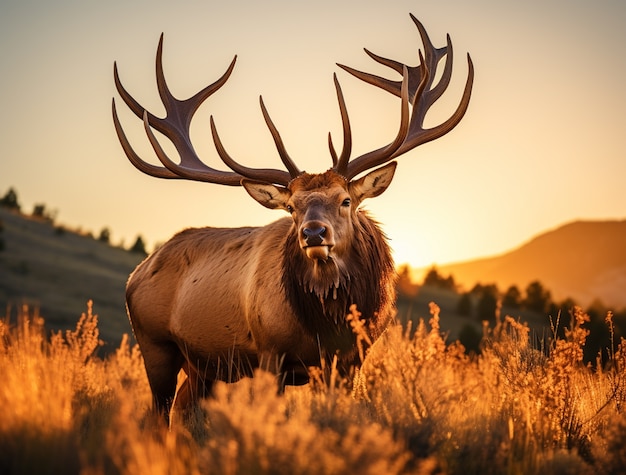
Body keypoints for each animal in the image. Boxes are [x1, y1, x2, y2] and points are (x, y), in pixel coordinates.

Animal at [112, 13, 472, 424]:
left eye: (345, 200)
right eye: (292, 207)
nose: (313, 233)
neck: (326, 329)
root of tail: (136, 272)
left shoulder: (352, 360)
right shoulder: (270, 351)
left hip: (203, 366)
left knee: (182, 413)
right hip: (154, 344)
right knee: (159, 412)